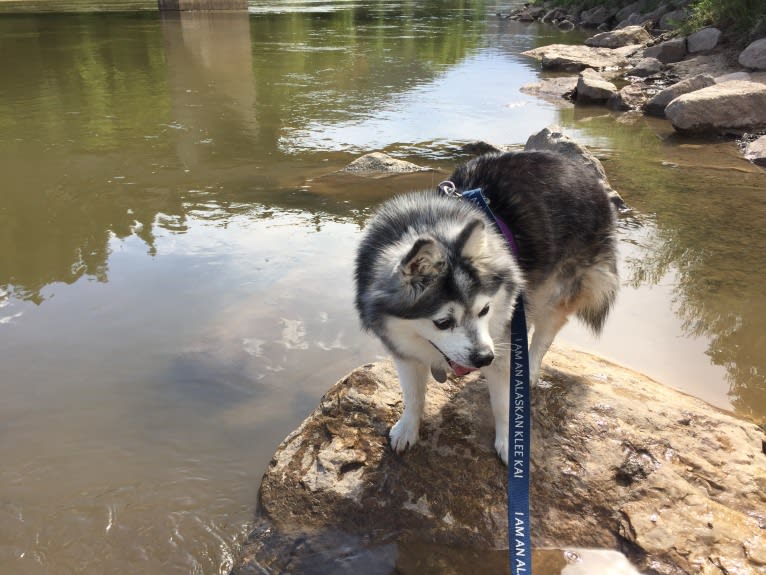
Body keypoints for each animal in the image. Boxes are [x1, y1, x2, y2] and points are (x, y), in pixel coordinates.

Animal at [354, 151, 616, 466]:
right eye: (443, 322)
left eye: (484, 310)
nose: (483, 358)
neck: (428, 225)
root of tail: (582, 169)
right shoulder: (403, 348)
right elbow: (413, 394)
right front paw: (408, 428)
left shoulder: (500, 335)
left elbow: (504, 402)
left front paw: (511, 442)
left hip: (557, 288)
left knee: (544, 333)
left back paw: (529, 367)